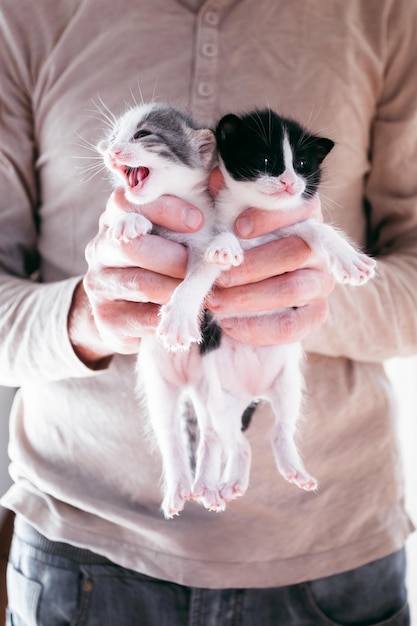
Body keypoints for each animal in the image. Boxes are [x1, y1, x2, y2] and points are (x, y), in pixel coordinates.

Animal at [193, 107, 376, 508]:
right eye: (265, 160)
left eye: (303, 165)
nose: (291, 182)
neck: (254, 211)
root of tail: (252, 393)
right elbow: (219, 234)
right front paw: (225, 245)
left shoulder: (291, 228)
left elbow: (318, 230)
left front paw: (349, 259)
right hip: (219, 399)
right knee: (236, 441)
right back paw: (230, 481)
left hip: (289, 383)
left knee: (280, 428)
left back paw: (294, 470)